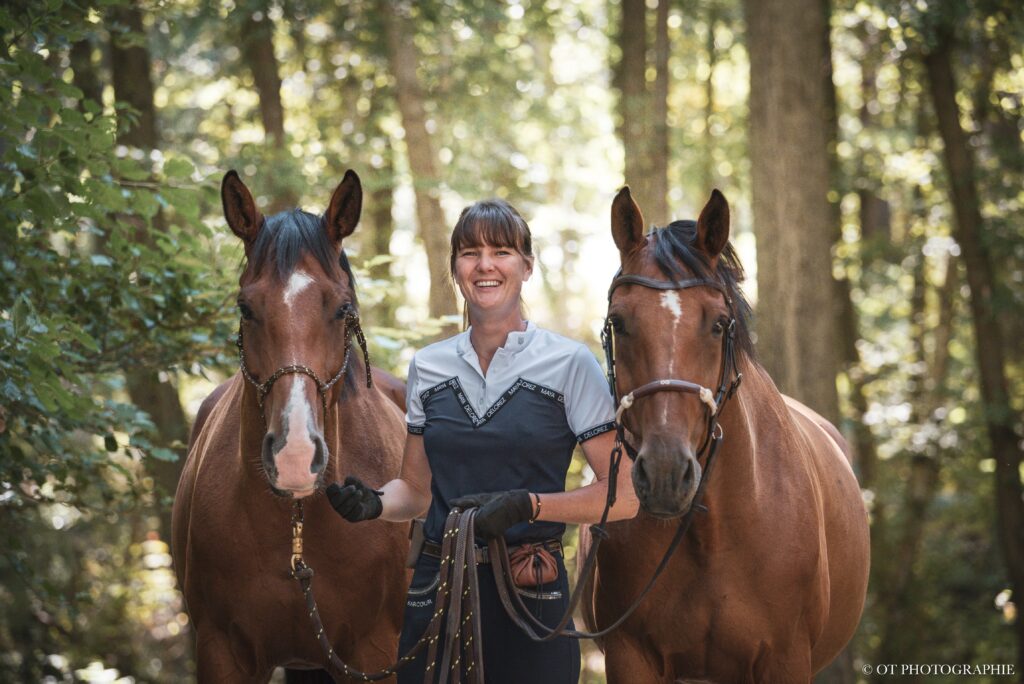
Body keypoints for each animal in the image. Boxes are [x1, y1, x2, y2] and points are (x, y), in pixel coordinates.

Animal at [580, 187, 870, 683]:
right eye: (618, 322)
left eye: (718, 323)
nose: (664, 474)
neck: (711, 532)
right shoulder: (629, 656)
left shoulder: (786, 658)